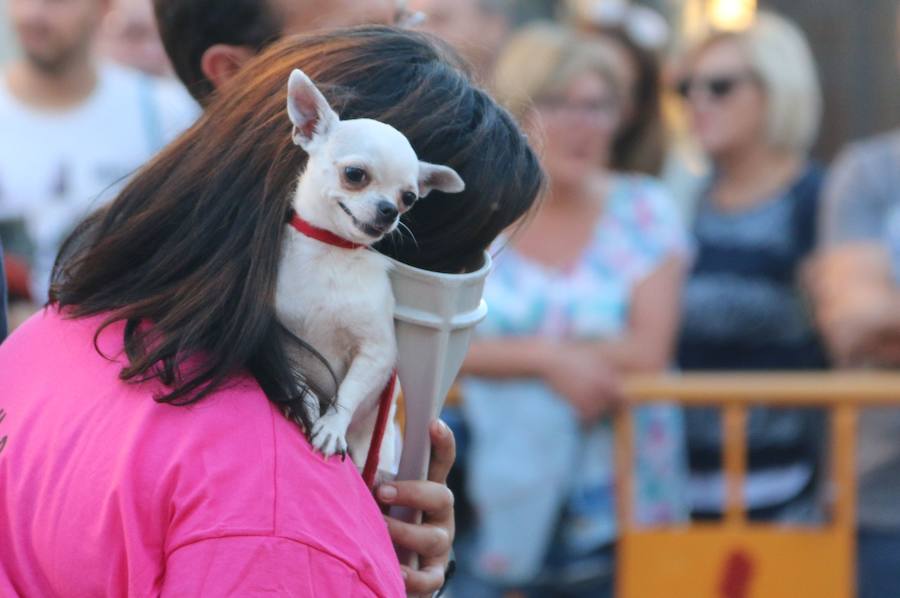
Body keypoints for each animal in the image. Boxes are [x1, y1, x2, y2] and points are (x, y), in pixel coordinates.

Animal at [276, 70, 464, 472]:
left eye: (409, 198)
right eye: (355, 174)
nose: (388, 210)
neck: (332, 251)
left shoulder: (377, 354)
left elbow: (349, 390)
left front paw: (332, 427)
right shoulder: (278, 334)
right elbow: (298, 377)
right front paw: (306, 404)